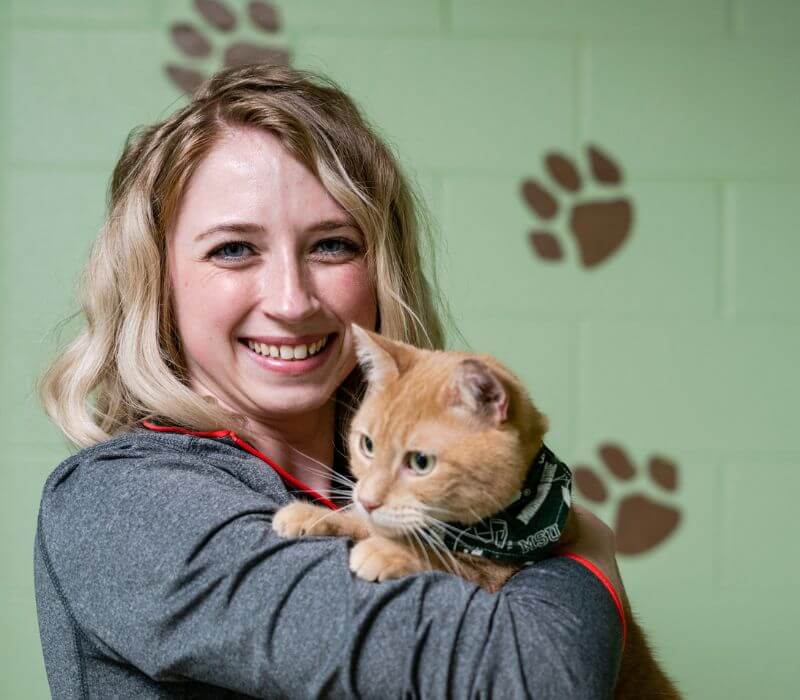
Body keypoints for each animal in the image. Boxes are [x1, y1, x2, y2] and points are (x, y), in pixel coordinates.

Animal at [274, 326, 680, 696]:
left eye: (420, 462)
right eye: (367, 445)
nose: (370, 499)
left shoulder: (490, 577)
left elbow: (438, 557)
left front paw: (386, 551)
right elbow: (366, 523)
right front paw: (312, 515)